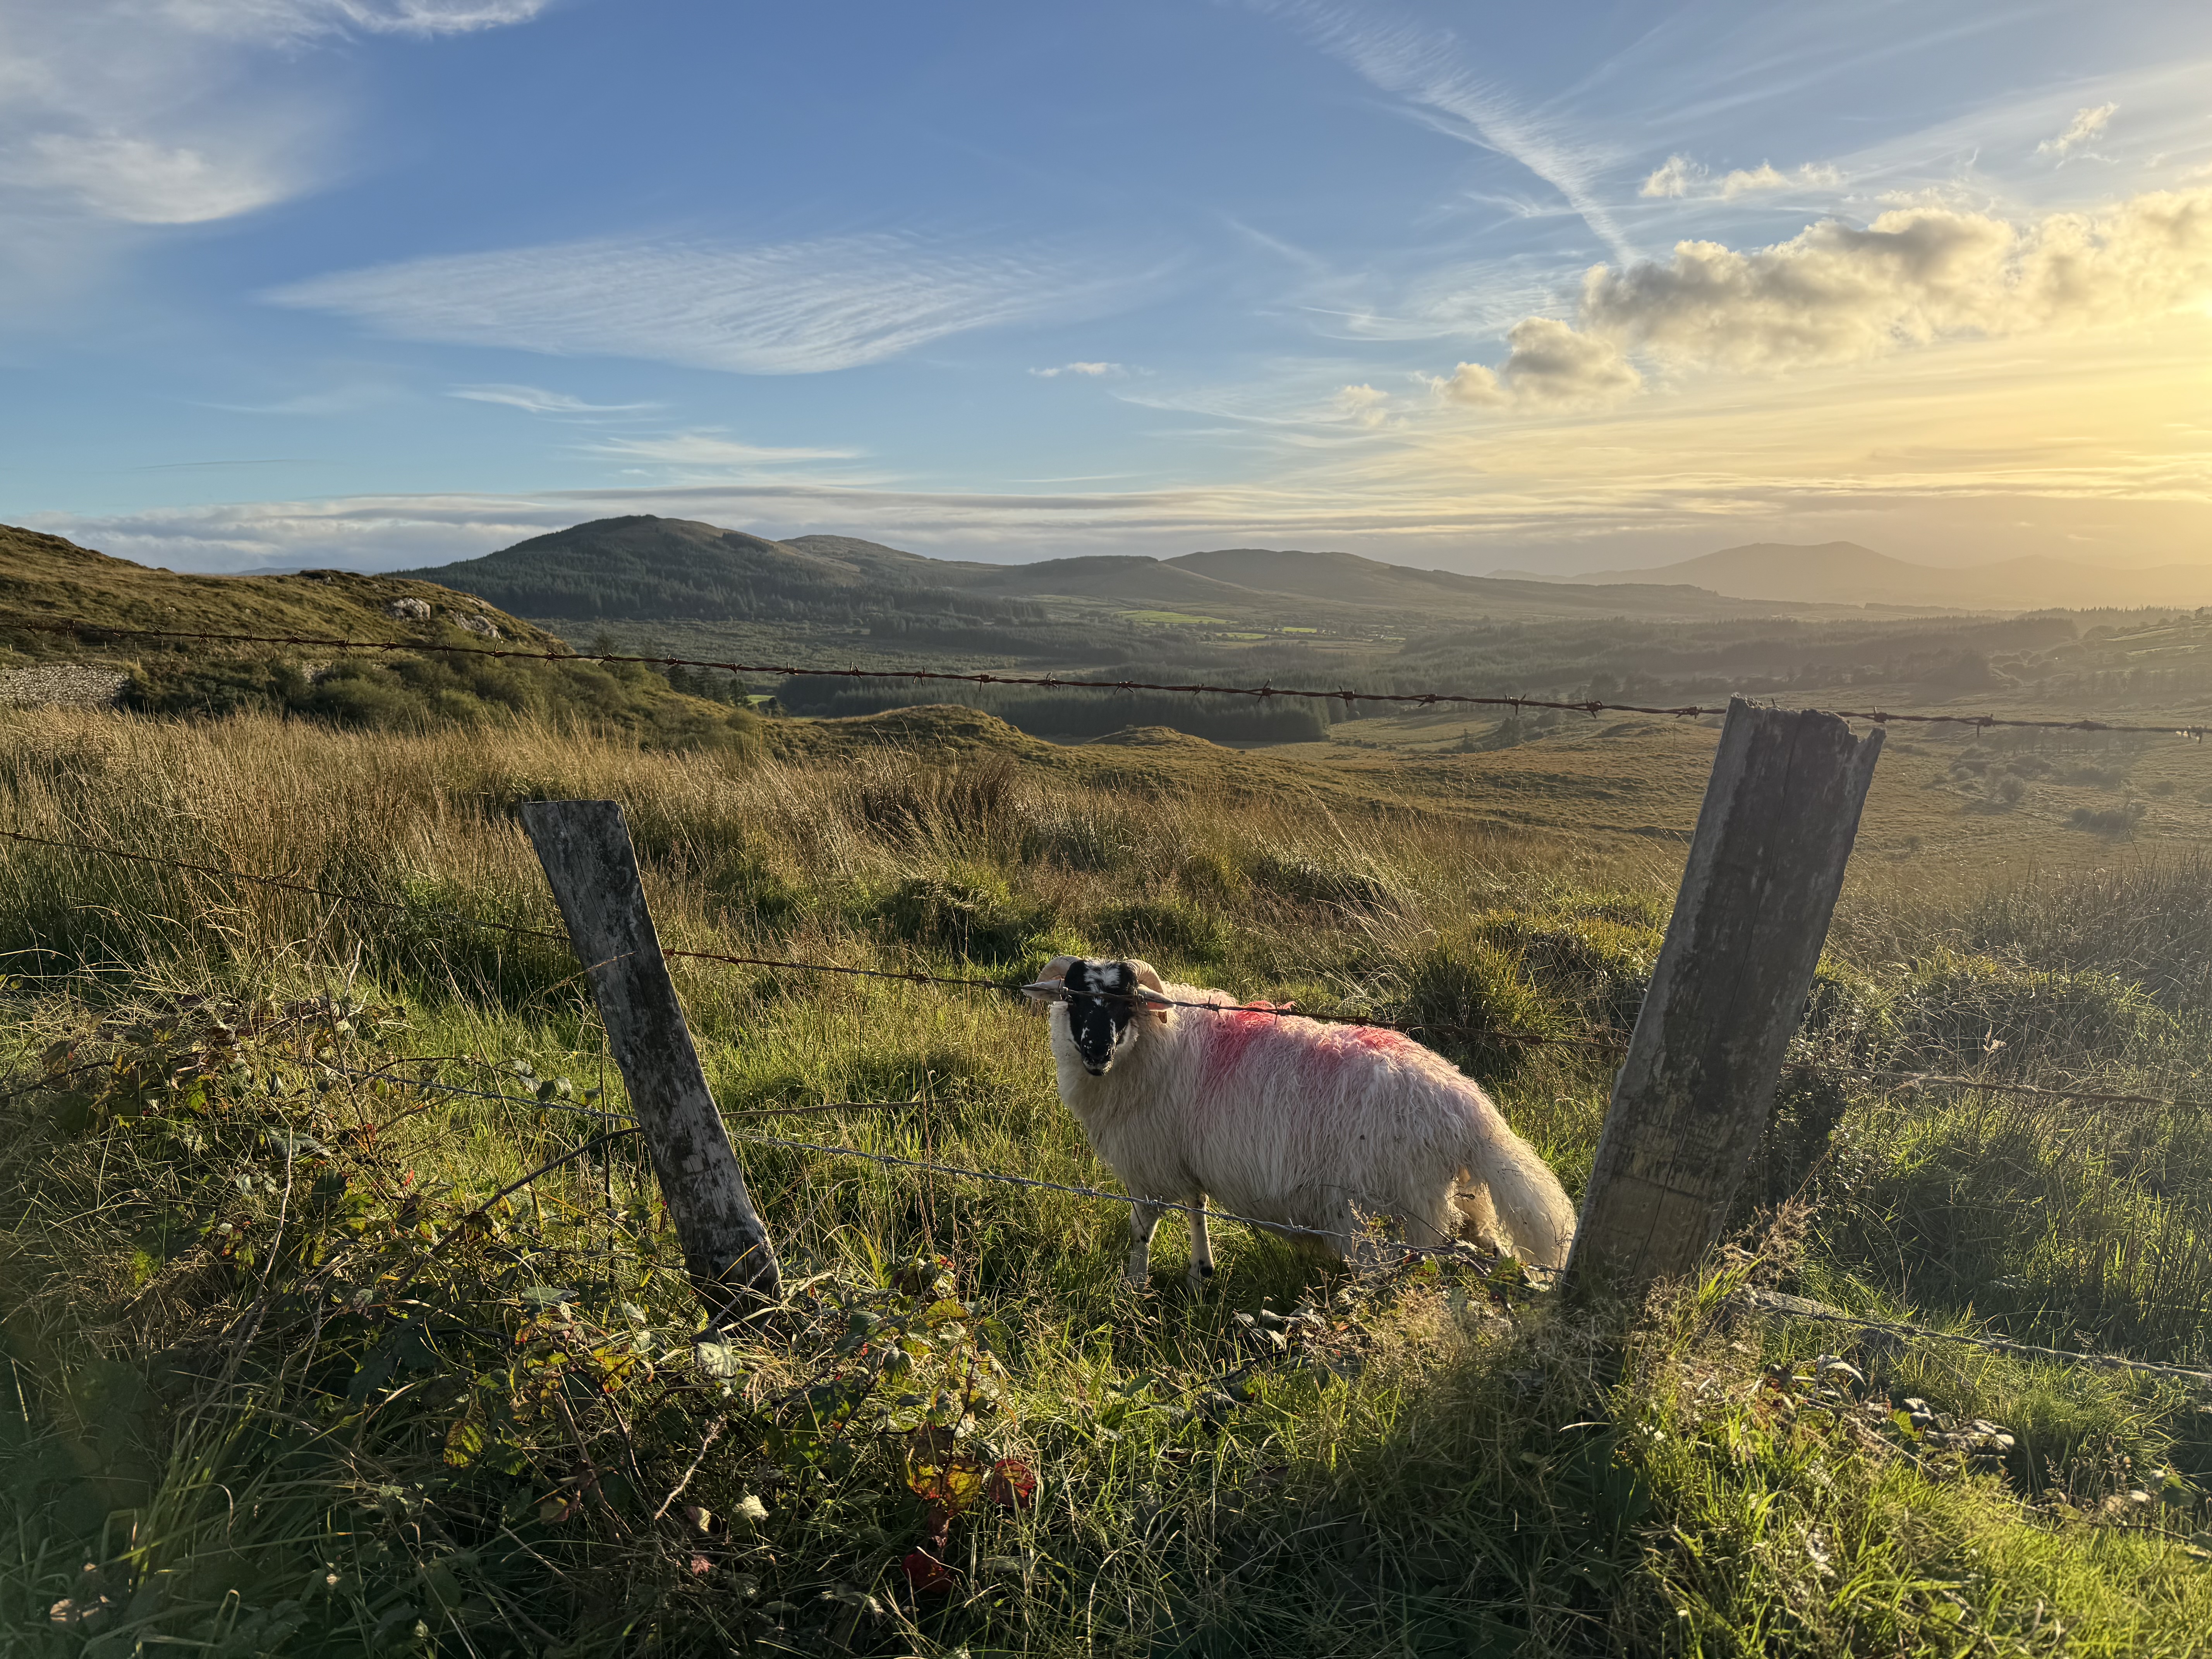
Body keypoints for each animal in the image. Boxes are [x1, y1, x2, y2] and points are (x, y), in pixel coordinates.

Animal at [1022, 955, 1577, 1288]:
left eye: (1127, 1002)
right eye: (1073, 998)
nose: (1096, 1049)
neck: (1156, 1045)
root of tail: (1468, 1109)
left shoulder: (1150, 1166)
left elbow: (1144, 1227)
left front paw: (1134, 1285)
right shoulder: (1186, 1158)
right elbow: (1197, 1208)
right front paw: (1202, 1273)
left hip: (1378, 1216)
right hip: (1463, 1205)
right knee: (1492, 1253)